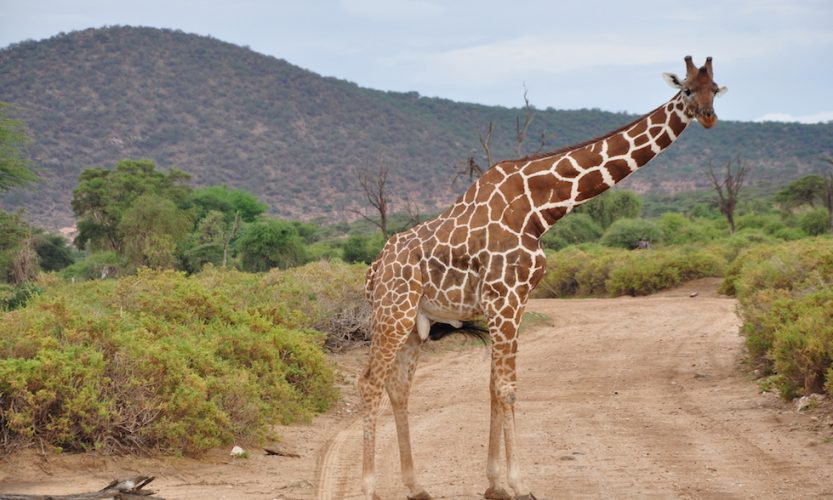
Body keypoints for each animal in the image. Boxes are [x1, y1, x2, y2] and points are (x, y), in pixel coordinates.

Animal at [358, 55, 728, 500]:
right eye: (687, 89)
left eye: (716, 88)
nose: (708, 116)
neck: (540, 207)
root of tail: (373, 270)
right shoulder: (505, 297)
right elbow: (507, 388)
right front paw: (519, 485)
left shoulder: (514, 301)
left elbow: (494, 388)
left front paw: (495, 484)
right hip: (392, 313)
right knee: (369, 381)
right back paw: (368, 487)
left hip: (416, 323)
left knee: (398, 386)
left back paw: (416, 486)